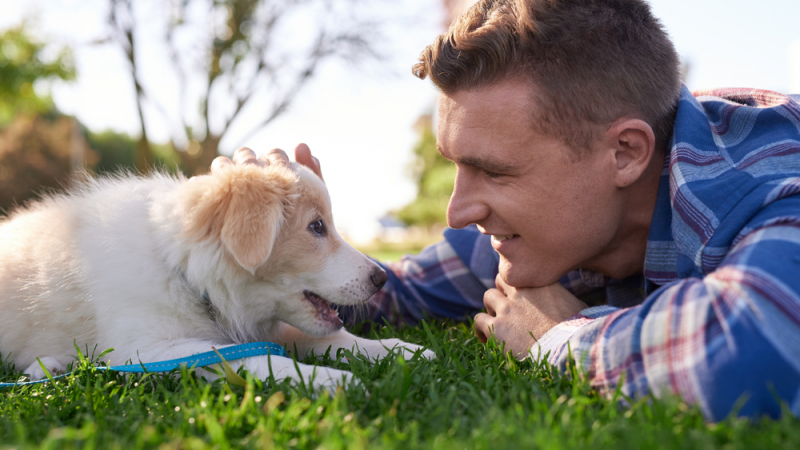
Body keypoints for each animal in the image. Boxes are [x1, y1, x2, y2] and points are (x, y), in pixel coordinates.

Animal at [0, 158, 432, 390]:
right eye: (316, 227)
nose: (381, 278)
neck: (183, 269)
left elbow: (335, 337)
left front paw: (400, 350)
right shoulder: (147, 349)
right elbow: (252, 359)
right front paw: (330, 380)